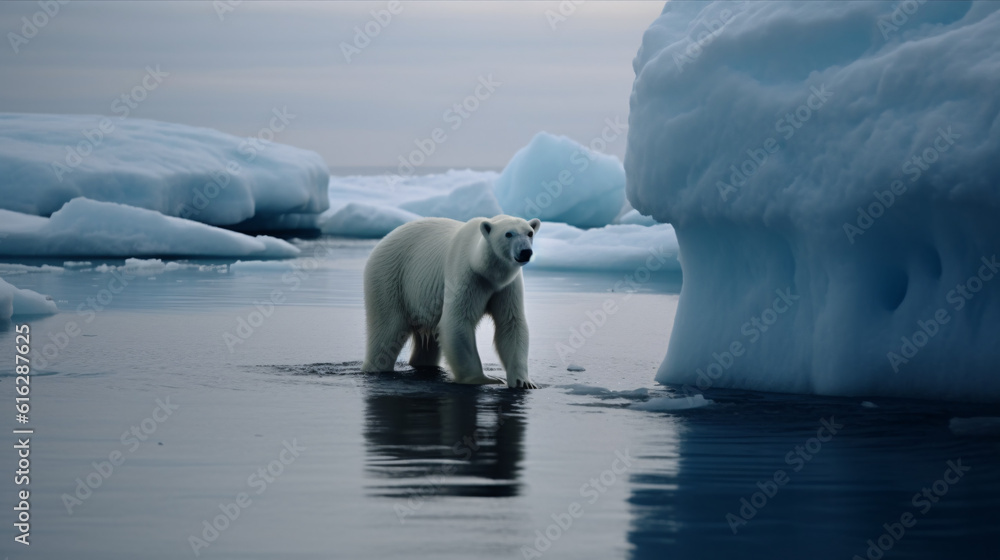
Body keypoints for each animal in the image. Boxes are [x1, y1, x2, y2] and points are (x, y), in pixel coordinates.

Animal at [364, 215, 540, 390]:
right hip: (390, 279)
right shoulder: (465, 276)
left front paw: (523, 382)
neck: (486, 270)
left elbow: (511, 322)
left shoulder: (507, 286)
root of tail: (383, 240)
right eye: (508, 234)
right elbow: (457, 321)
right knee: (387, 330)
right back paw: (376, 367)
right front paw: (485, 379)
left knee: (427, 342)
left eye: (530, 233)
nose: (525, 252)